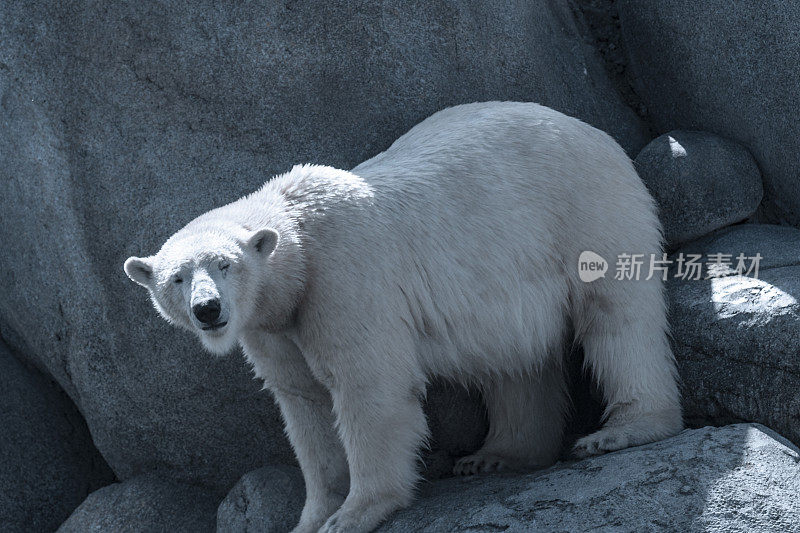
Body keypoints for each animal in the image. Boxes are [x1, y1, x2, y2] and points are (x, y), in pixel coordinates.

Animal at [123, 101, 680, 532]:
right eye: (176, 278)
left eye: (226, 263)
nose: (208, 309)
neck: (298, 235)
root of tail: (596, 134)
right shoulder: (272, 325)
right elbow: (304, 406)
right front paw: (312, 516)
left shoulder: (344, 277)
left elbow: (369, 388)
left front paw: (352, 515)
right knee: (514, 359)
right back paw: (497, 453)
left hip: (586, 211)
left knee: (617, 319)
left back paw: (623, 429)